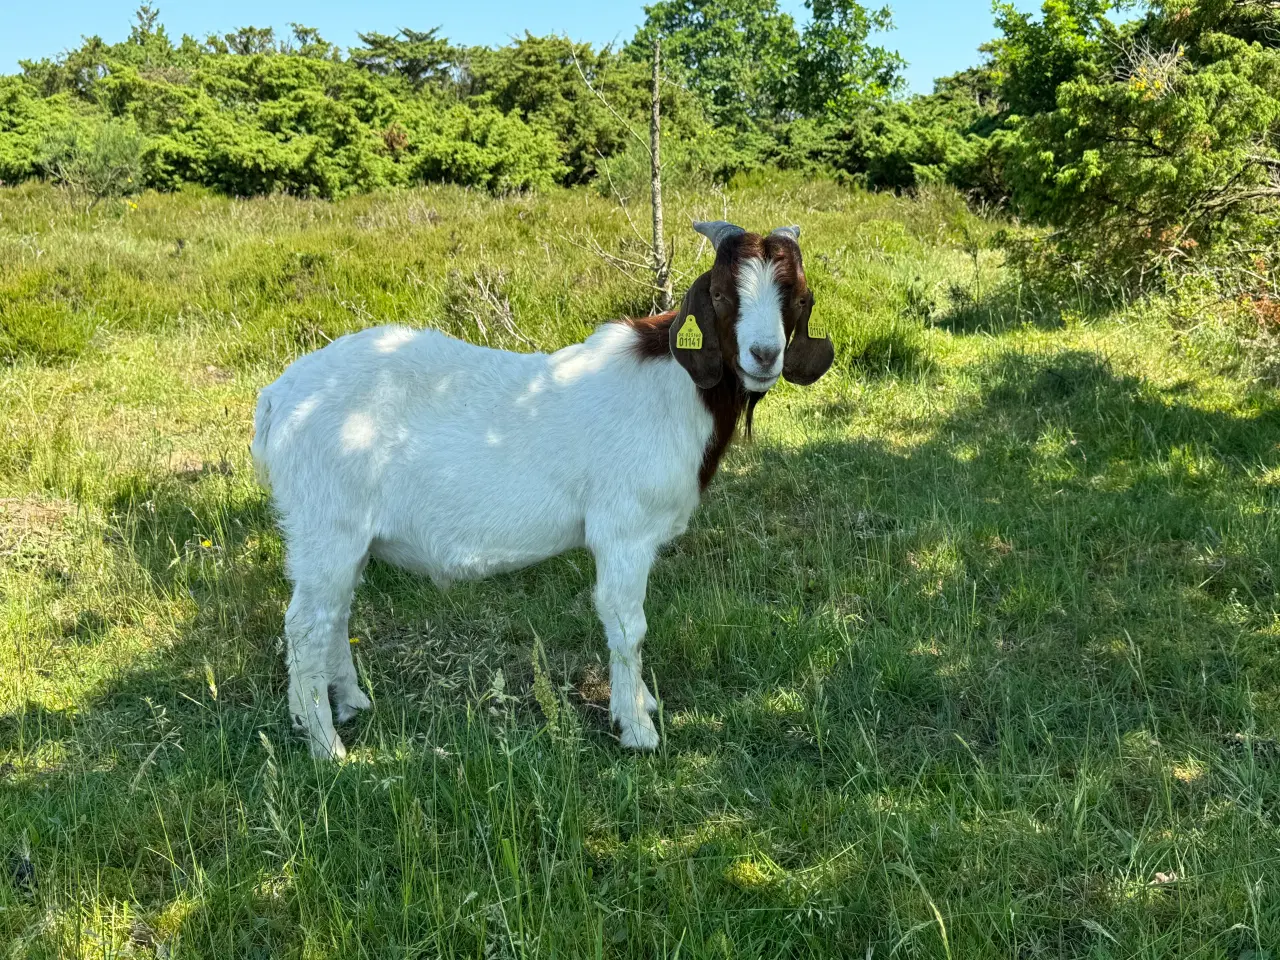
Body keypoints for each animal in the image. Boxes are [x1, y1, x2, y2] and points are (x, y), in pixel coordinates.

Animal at [250, 224, 834, 757]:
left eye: (795, 296)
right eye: (720, 294)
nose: (764, 355)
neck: (677, 390)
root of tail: (278, 397)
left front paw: (641, 703)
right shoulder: (624, 531)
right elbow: (627, 624)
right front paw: (638, 728)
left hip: (342, 538)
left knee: (335, 614)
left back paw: (349, 703)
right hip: (327, 525)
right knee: (305, 626)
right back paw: (327, 746)